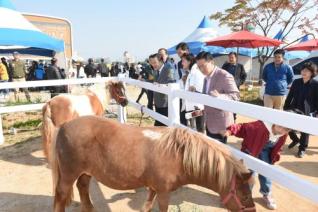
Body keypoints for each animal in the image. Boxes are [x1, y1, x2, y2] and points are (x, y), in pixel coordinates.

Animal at [52, 116, 256, 212]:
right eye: (245, 196)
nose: (252, 211)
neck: (178, 155)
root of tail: (63, 126)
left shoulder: (153, 187)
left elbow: (147, 205)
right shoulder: (164, 192)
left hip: (86, 172)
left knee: (83, 187)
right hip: (69, 173)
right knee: (61, 194)